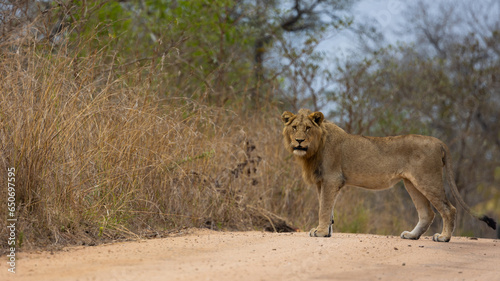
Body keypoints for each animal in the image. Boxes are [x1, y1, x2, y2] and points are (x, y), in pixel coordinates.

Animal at [282, 107, 496, 241]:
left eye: (308, 128)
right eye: (294, 127)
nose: (299, 141)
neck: (313, 149)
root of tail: (438, 141)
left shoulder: (331, 180)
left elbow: (324, 208)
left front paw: (319, 232)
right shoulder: (323, 182)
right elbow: (328, 209)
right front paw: (325, 232)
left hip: (428, 180)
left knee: (448, 209)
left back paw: (444, 237)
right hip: (412, 184)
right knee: (427, 213)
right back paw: (412, 235)